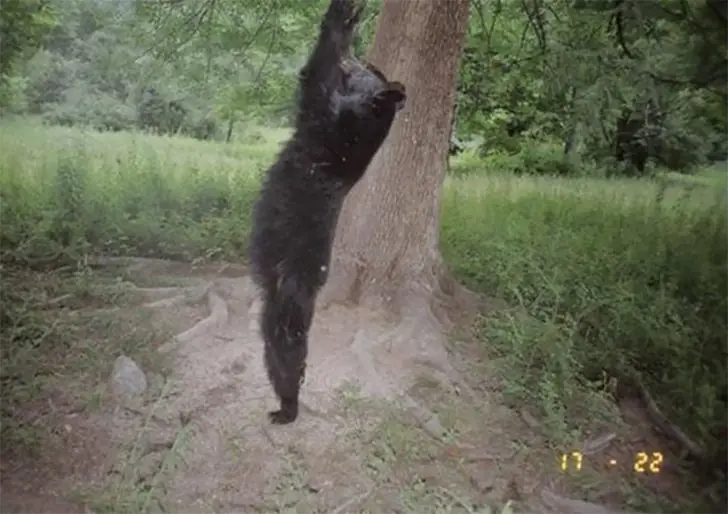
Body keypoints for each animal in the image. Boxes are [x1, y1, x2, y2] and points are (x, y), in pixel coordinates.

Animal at [248, 0, 406, 425]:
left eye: (368, 69)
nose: (362, 59)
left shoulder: (336, 119)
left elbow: (316, 75)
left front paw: (342, 19)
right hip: (276, 300)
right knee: (274, 344)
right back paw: (282, 403)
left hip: (293, 288)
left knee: (290, 346)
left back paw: (289, 406)